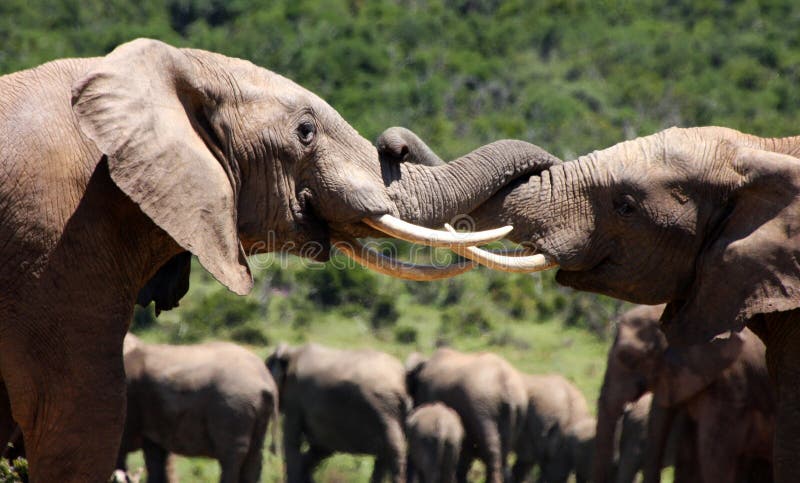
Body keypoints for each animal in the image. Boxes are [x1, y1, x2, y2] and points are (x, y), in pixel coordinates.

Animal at [114, 334, 278, 483]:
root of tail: (267, 382)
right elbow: (154, 453)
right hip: (250, 408)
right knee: (254, 454)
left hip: (233, 405)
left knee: (232, 456)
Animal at [266, 344, 410, 483]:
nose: (272, 450)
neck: (291, 352)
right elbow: (320, 448)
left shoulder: (295, 398)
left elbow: (293, 441)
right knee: (386, 454)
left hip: (383, 407)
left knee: (393, 450)